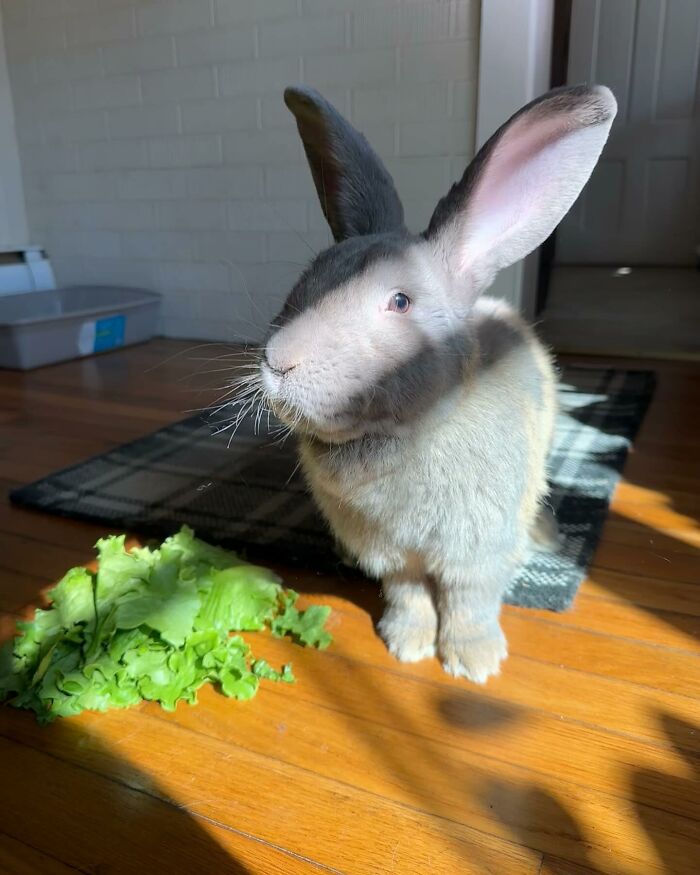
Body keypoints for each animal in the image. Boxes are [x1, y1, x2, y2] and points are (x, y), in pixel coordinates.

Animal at [256, 84, 617, 683]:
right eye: (304, 282)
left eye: (400, 302)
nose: (278, 362)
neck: (414, 428)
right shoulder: (391, 556)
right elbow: (409, 594)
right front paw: (406, 644)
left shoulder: (476, 551)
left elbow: (470, 601)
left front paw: (475, 662)